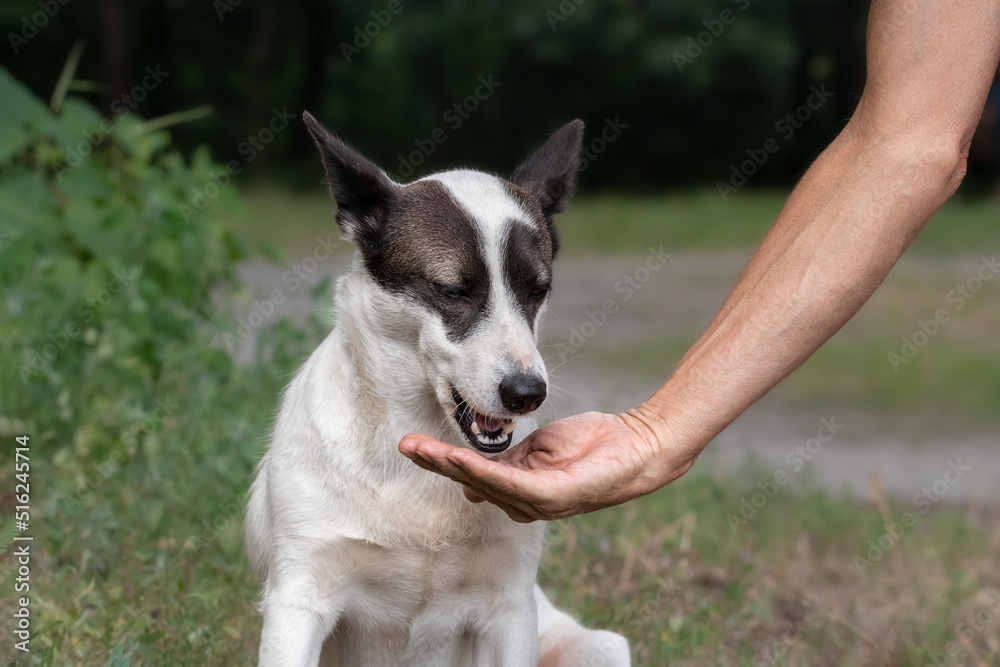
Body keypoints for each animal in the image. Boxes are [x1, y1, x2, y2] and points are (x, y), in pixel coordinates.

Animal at [245, 112, 628, 664]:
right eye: (452, 290)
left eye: (538, 291)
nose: (527, 394)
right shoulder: (298, 600)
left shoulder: (511, 606)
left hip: (601, 647)